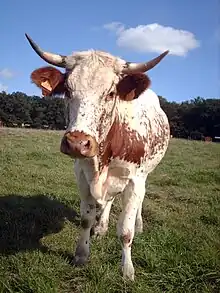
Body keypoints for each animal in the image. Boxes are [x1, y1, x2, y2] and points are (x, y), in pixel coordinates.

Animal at [25, 33, 170, 280]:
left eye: (110, 93)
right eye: (68, 90)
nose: (77, 142)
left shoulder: (134, 180)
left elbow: (125, 231)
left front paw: (127, 270)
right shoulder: (83, 175)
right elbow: (85, 219)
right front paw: (81, 254)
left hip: (145, 175)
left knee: (139, 202)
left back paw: (138, 223)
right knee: (108, 201)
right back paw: (101, 227)